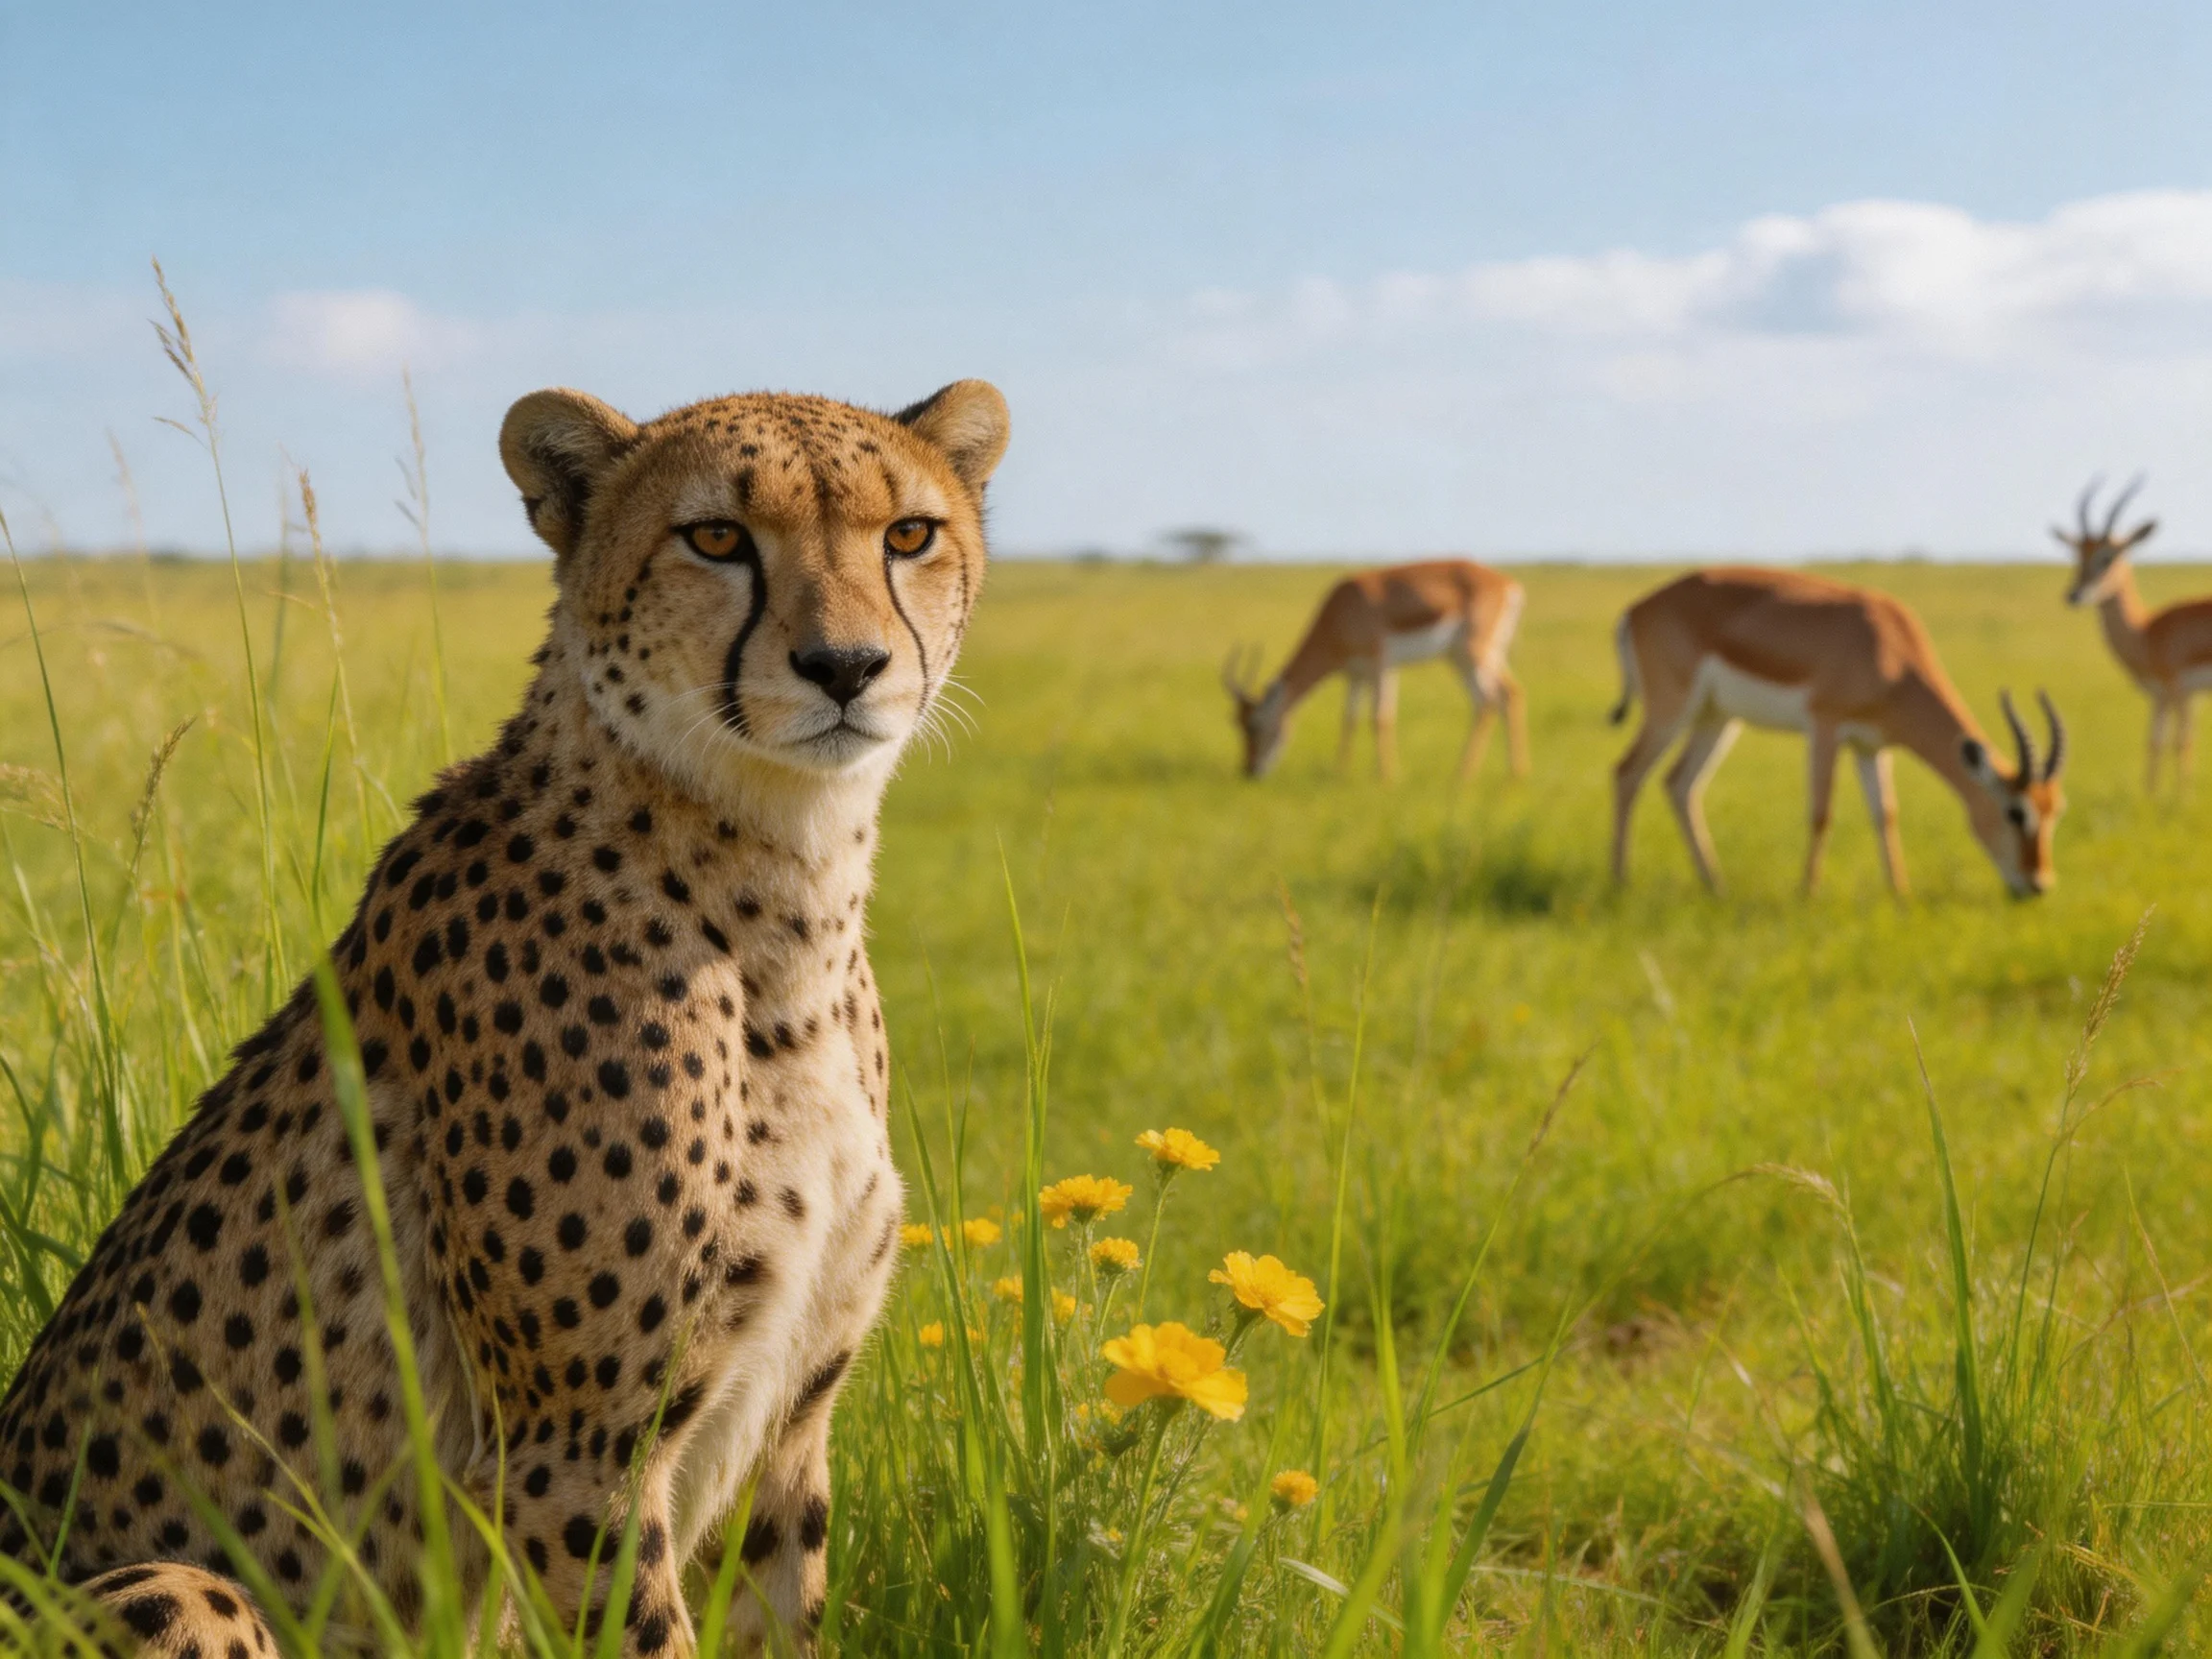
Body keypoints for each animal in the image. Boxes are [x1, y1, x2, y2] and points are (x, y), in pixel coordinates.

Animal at [0, 375, 1009, 1656]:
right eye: (716, 538)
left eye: (909, 534)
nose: (846, 664)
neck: (783, 892)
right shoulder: (573, 1462)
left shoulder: (785, 1433)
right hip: (183, 1588)